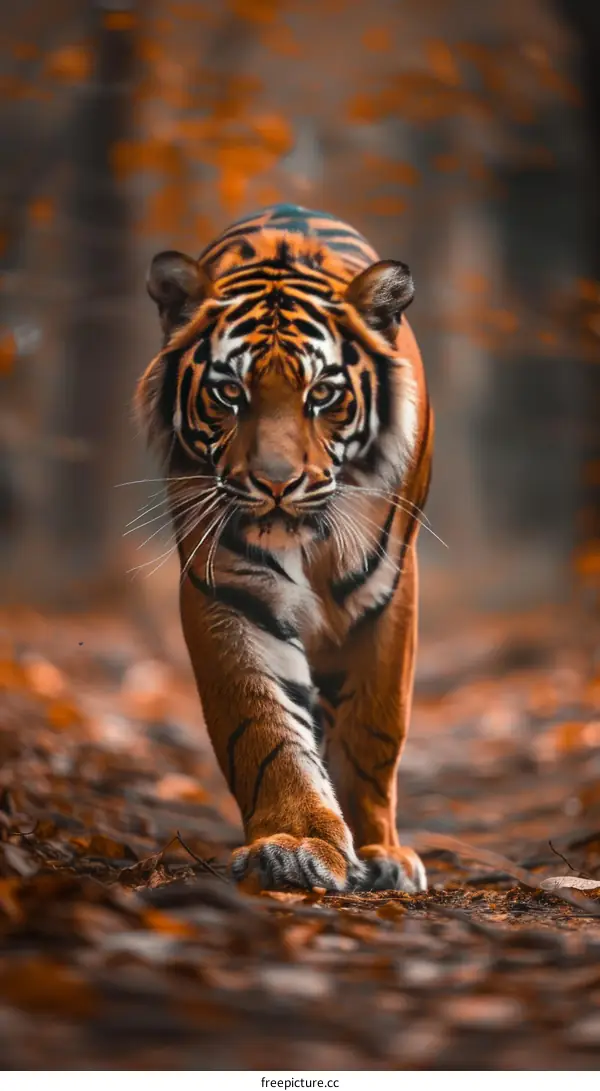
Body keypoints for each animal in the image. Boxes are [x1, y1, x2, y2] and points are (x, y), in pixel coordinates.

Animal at [137, 204, 433, 894]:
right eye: (229, 393)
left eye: (322, 394)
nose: (275, 484)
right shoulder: (230, 587)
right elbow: (265, 722)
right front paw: (297, 842)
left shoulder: (391, 590)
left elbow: (374, 728)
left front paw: (381, 852)